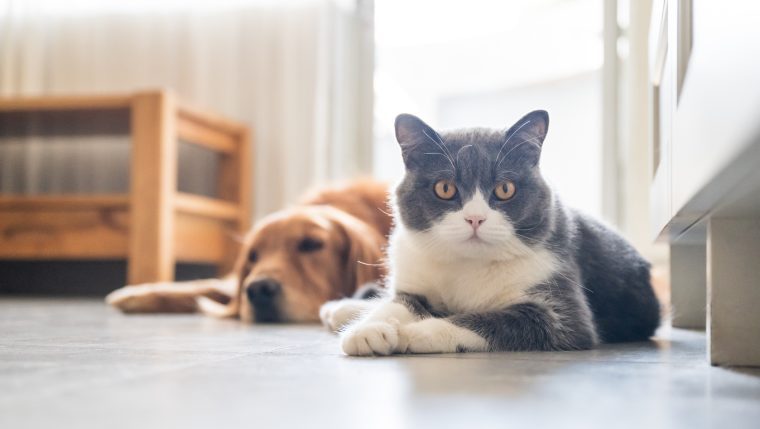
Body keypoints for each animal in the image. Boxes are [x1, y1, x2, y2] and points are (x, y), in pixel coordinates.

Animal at [320, 110, 660, 354]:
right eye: (445, 188)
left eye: (505, 188)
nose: (475, 219)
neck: (468, 264)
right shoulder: (415, 275)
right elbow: (399, 301)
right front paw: (368, 330)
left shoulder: (563, 313)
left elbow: (487, 320)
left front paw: (414, 332)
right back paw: (343, 309)